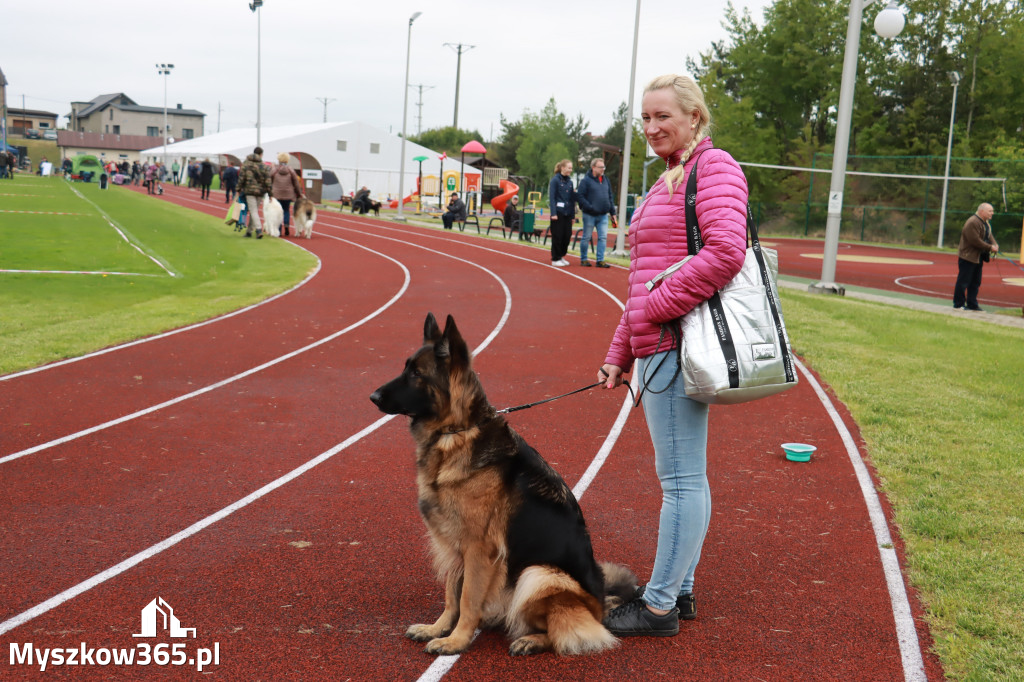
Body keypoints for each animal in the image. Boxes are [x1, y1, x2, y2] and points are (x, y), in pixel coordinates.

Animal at [372, 311, 634, 655]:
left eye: (416, 373)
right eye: (406, 368)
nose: (373, 397)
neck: (458, 432)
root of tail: (601, 605)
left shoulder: (479, 549)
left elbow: (467, 599)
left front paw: (456, 640)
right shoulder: (455, 544)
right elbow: (451, 594)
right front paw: (438, 629)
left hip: (538, 574)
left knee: (564, 630)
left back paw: (531, 640)